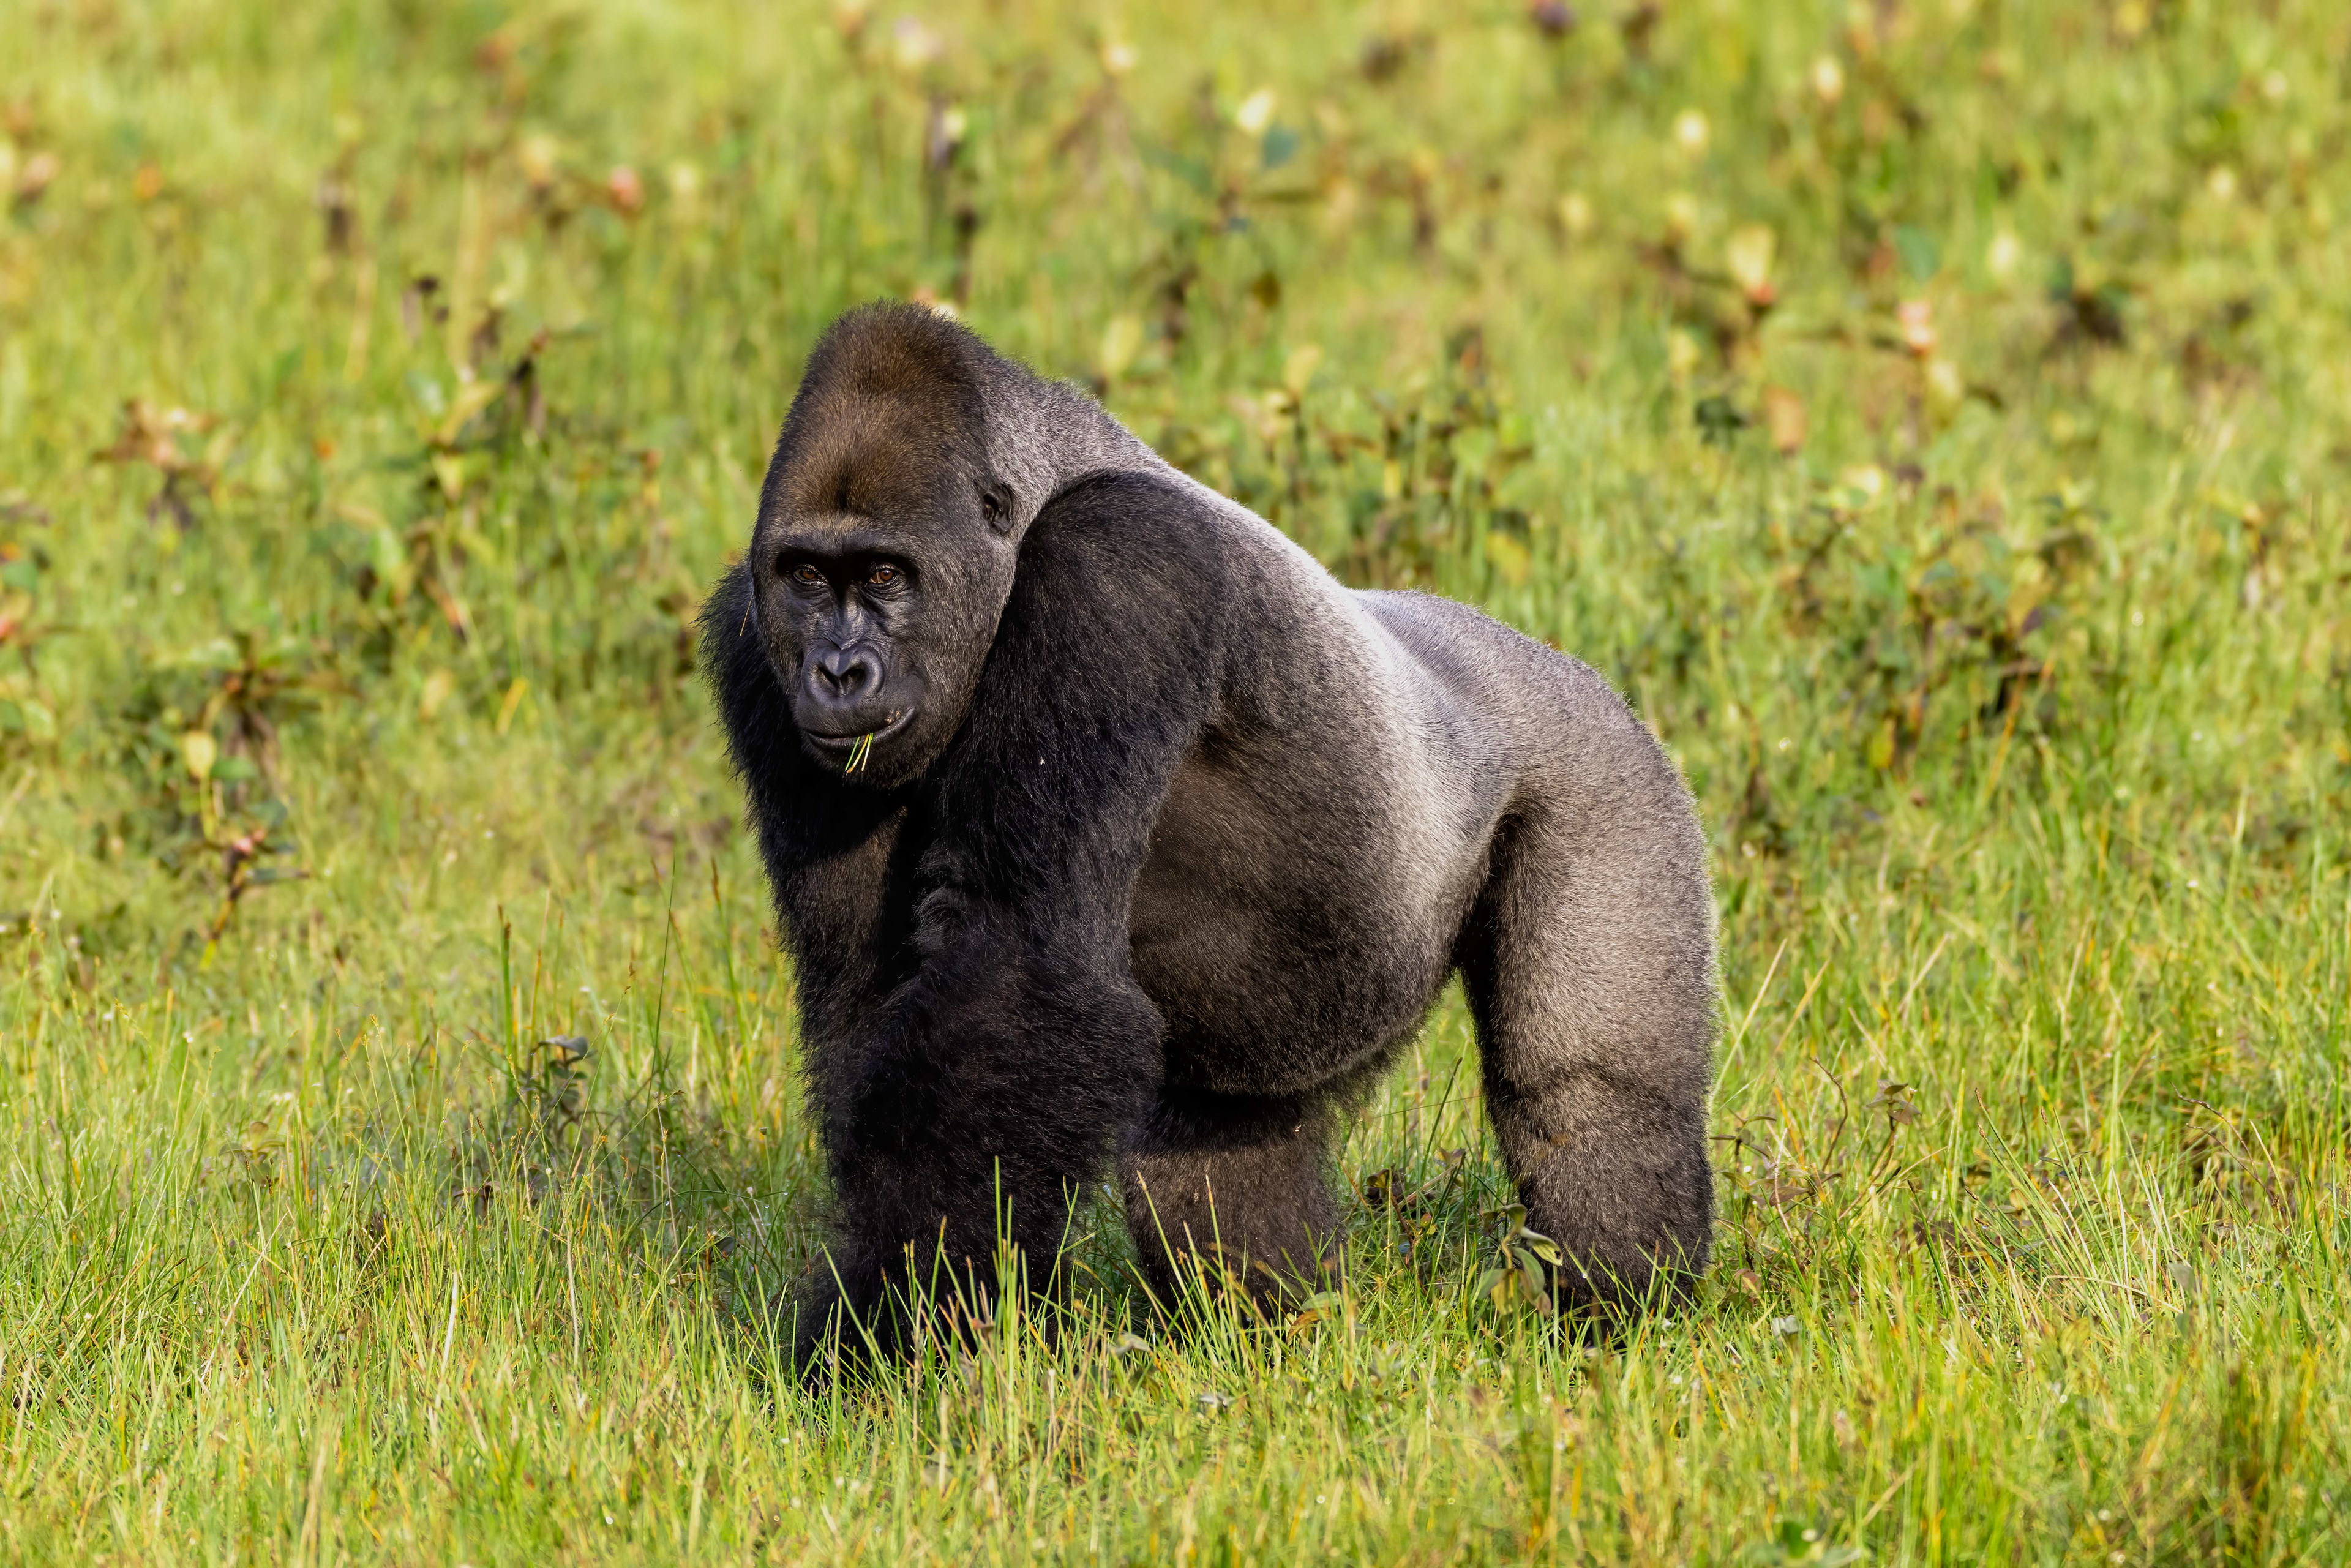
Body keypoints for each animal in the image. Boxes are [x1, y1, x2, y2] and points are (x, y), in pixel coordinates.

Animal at [700, 302, 1717, 1364]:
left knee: (1583, 1093)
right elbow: (870, 999)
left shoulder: (1122, 567)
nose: (837, 671)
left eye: (886, 574)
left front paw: (885, 1331)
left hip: (1608, 771)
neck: (1034, 497)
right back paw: (1272, 1329)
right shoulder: (751, 641)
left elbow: (1018, 965)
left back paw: (1625, 1308)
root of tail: (1566, 668)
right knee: (1216, 1145)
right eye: (807, 576)